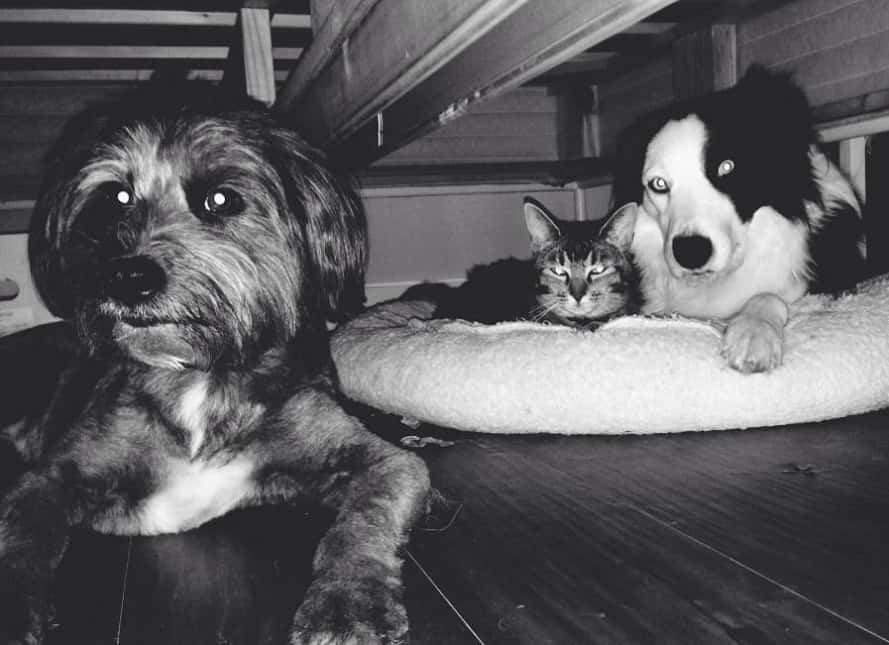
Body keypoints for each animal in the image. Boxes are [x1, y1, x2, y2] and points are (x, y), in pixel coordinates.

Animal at [0, 83, 430, 644]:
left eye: (221, 199)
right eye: (117, 197)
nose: (127, 277)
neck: (201, 375)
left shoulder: (385, 461)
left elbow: (363, 520)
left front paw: (348, 602)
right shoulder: (48, 479)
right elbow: (23, 539)